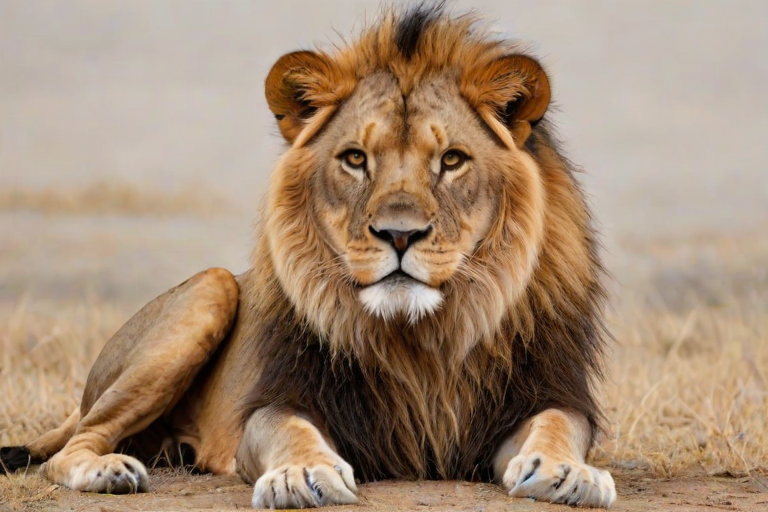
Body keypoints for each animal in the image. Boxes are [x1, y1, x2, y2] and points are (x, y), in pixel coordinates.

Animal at [0, 5, 616, 509]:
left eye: (452, 160)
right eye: (355, 158)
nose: (399, 235)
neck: (419, 340)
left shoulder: (544, 393)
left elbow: (559, 425)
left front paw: (567, 472)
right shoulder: (279, 398)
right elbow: (288, 431)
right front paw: (301, 475)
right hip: (212, 289)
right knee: (70, 446)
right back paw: (108, 470)